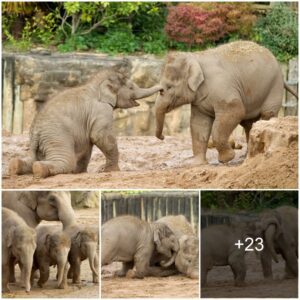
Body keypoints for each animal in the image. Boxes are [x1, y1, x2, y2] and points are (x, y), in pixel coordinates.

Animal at [9, 62, 163, 178]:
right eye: (131, 87)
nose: (162, 89)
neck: (95, 84)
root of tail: (36, 130)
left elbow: (88, 145)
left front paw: (80, 173)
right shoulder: (100, 110)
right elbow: (99, 136)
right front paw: (110, 171)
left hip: (40, 142)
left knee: (31, 159)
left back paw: (16, 166)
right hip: (56, 136)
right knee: (65, 160)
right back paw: (39, 170)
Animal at [155, 40, 298, 164]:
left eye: (169, 87)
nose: (162, 137)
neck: (195, 57)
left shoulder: (224, 90)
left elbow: (235, 112)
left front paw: (226, 159)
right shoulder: (199, 100)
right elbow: (199, 124)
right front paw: (197, 163)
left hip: (273, 87)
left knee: (266, 115)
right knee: (248, 124)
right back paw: (246, 157)